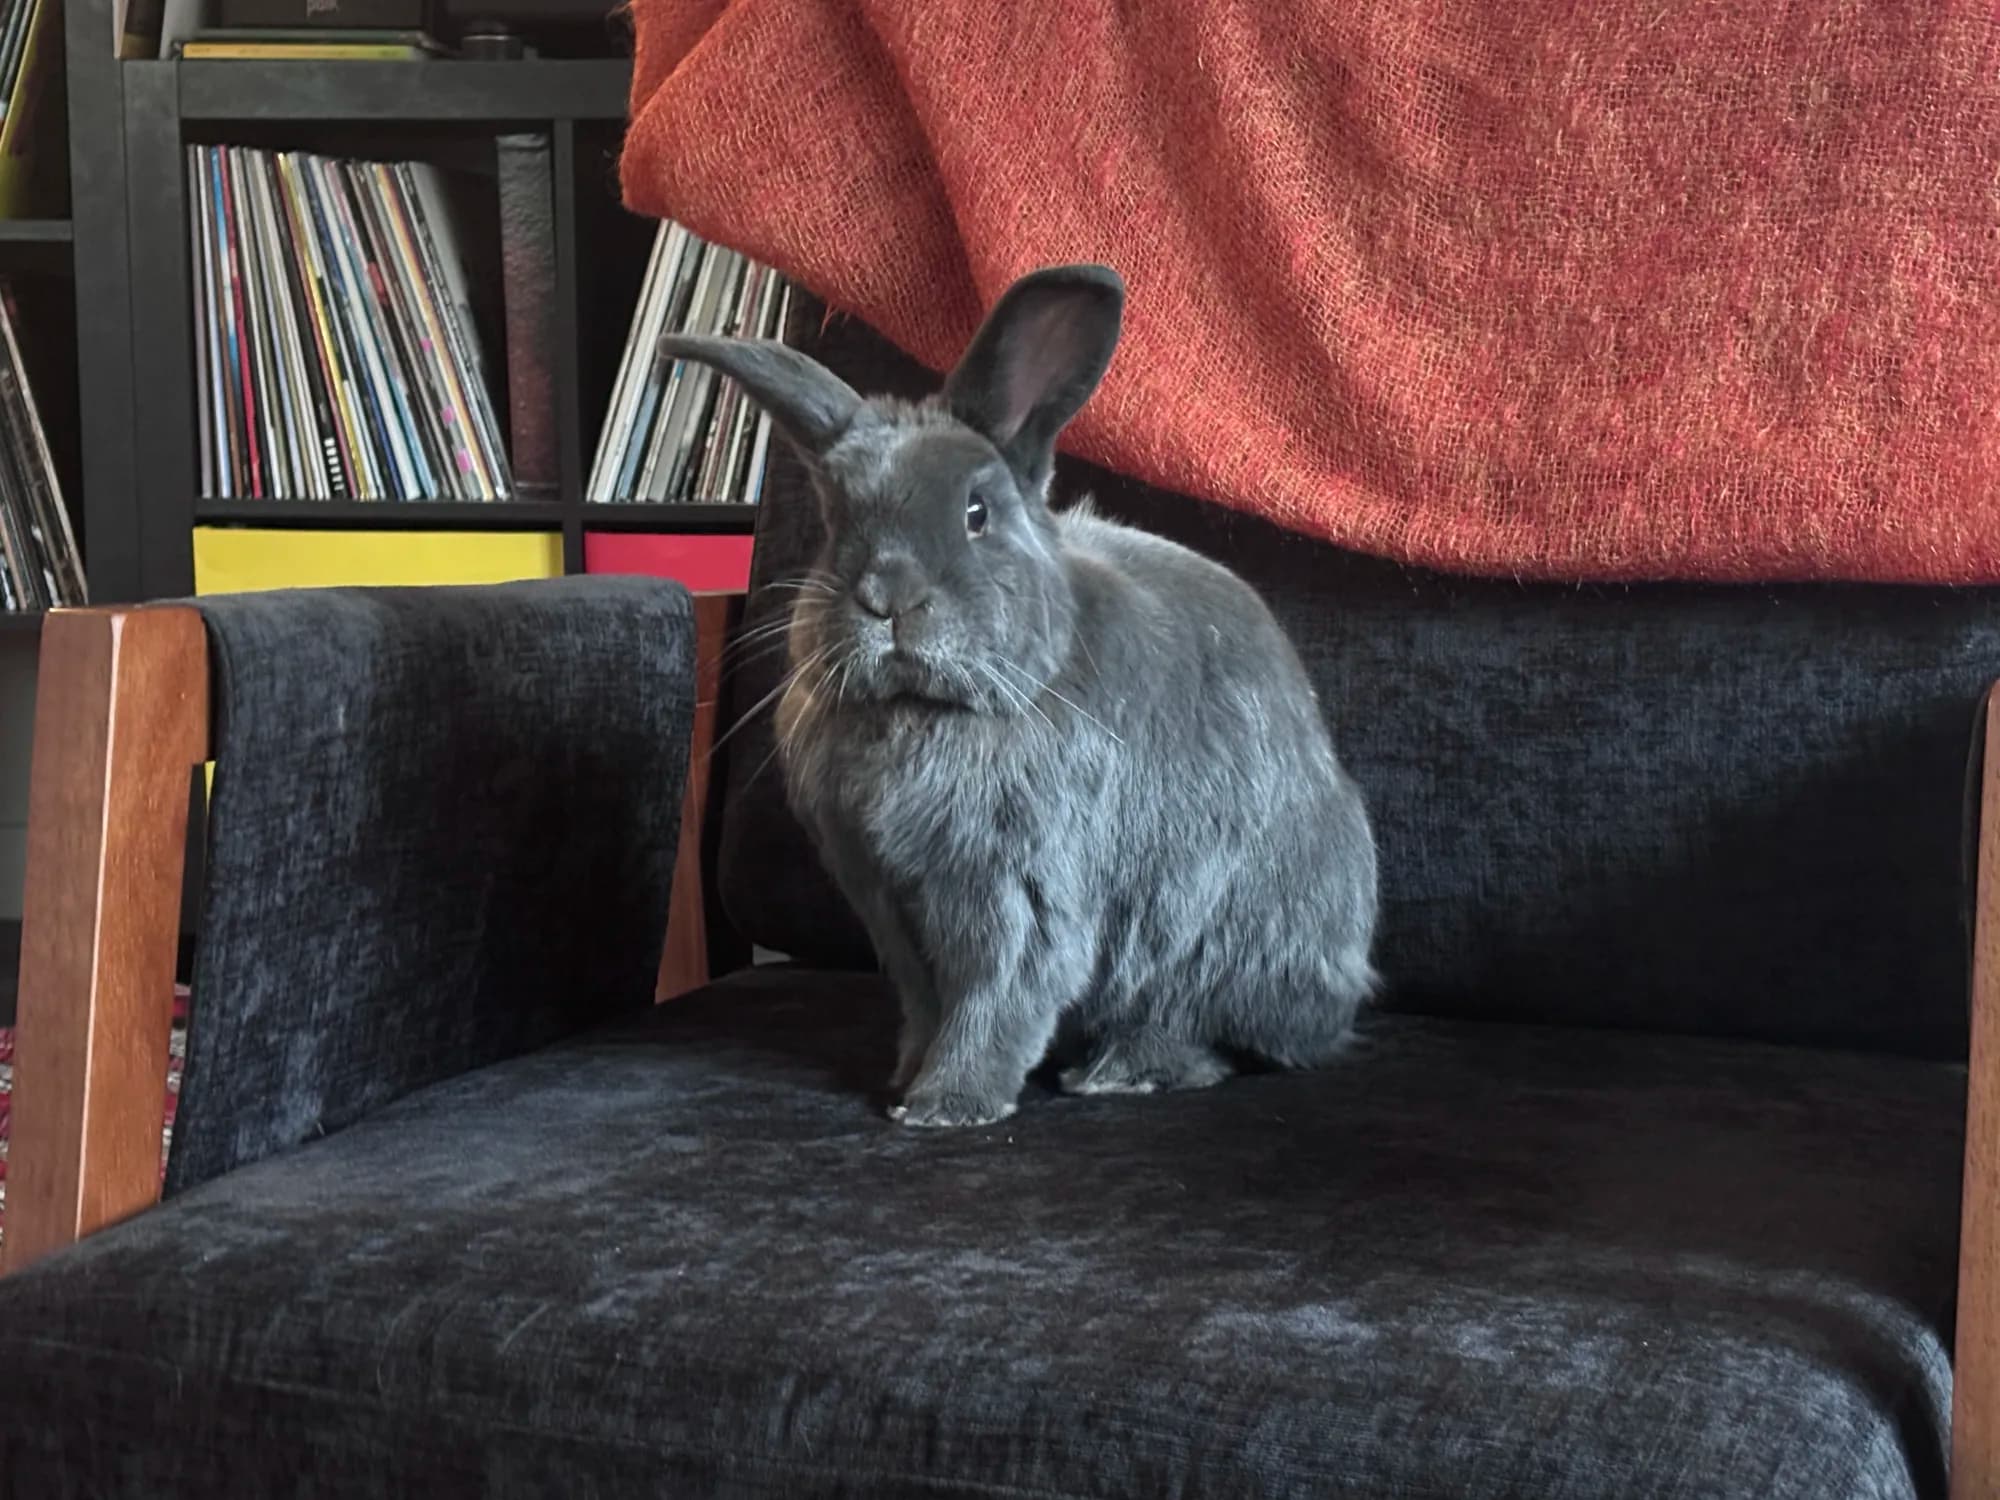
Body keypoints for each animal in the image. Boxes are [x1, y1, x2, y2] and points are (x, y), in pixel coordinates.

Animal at [662, 263, 1379, 1129]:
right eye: (836, 522)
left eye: (977, 513)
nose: (887, 596)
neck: (929, 710)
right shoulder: (891, 906)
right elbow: (928, 1002)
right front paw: (907, 1079)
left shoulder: (1019, 888)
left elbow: (997, 996)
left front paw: (947, 1104)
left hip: (1217, 935)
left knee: (1207, 1031)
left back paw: (1125, 1071)